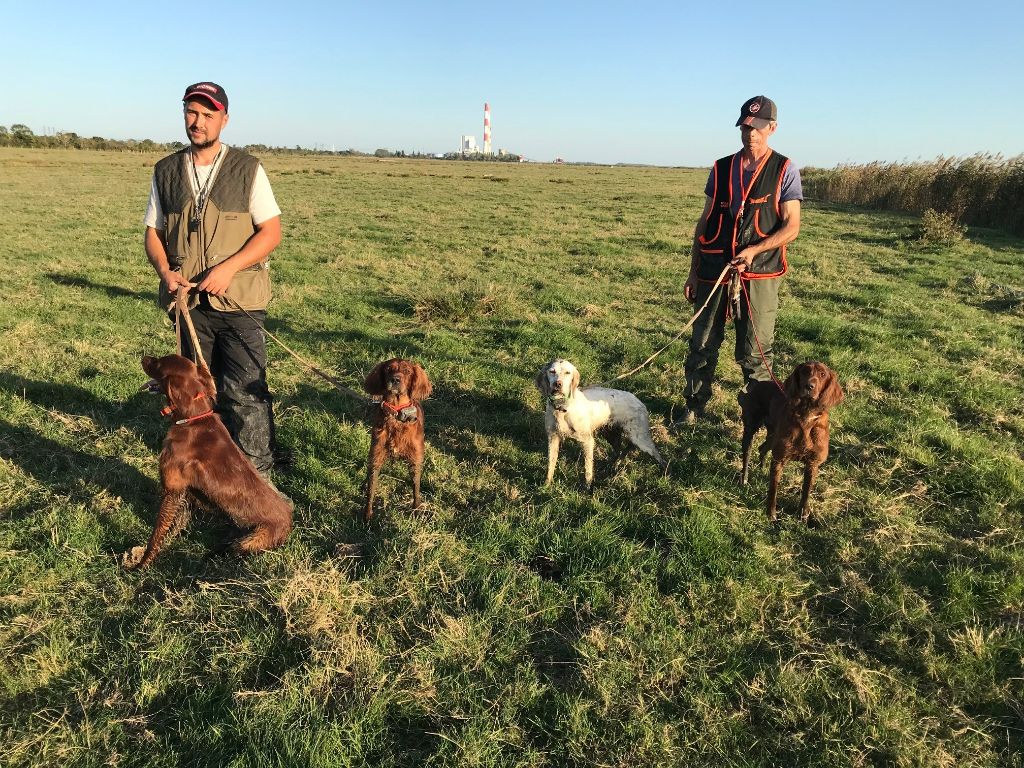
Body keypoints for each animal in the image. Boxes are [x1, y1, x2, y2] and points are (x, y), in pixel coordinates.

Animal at [126, 358, 292, 569]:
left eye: (158, 363)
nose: (144, 357)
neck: (191, 421)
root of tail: (289, 521)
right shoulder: (185, 495)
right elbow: (173, 527)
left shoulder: (172, 491)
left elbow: (156, 534)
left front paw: (143, 564)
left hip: (254, 537)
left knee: (235, 552)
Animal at [362, 360, 430, 524]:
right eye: (388, 369)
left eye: (407, 371)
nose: (395, 380)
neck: (397, 414)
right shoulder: (376, 456)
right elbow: (371, 489)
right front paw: (367, 515)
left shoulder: (415, 460)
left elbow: (416, 489)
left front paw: (417, 510)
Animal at [741, 364, 843, 528]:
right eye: (804, 371)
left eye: (822, 374)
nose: (809, 386)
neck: (806, 417)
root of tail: (757, 382)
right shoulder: (779, 459)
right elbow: (773, 490)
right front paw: (771, 514)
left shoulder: (812, 464)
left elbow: (806, 493)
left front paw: (803, 516)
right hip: (751, 427)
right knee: (747, 453)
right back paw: (744, 478)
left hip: (773, 435)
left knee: (762, 448)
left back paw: (762, 468)